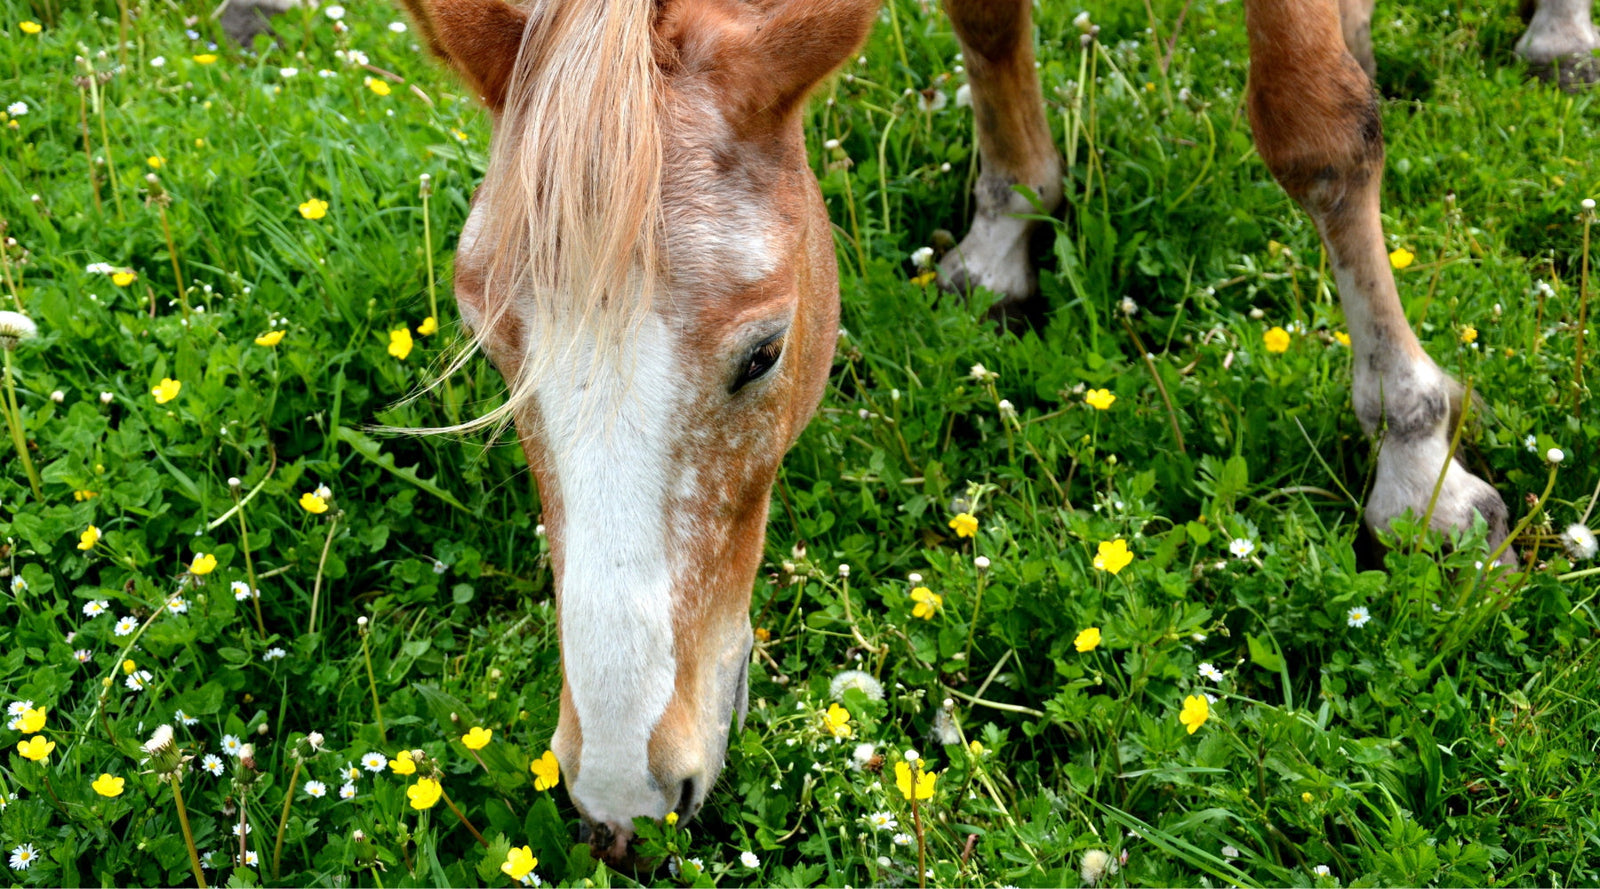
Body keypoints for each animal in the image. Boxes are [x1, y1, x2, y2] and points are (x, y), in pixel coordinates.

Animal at [394, 0, 1593, 865]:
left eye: (765, 353)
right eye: (490, 345)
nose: (619, 791)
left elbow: (1318, 127)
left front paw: (1417, 458)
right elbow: (985, 19)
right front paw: (1011, 221)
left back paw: (1559, 35)